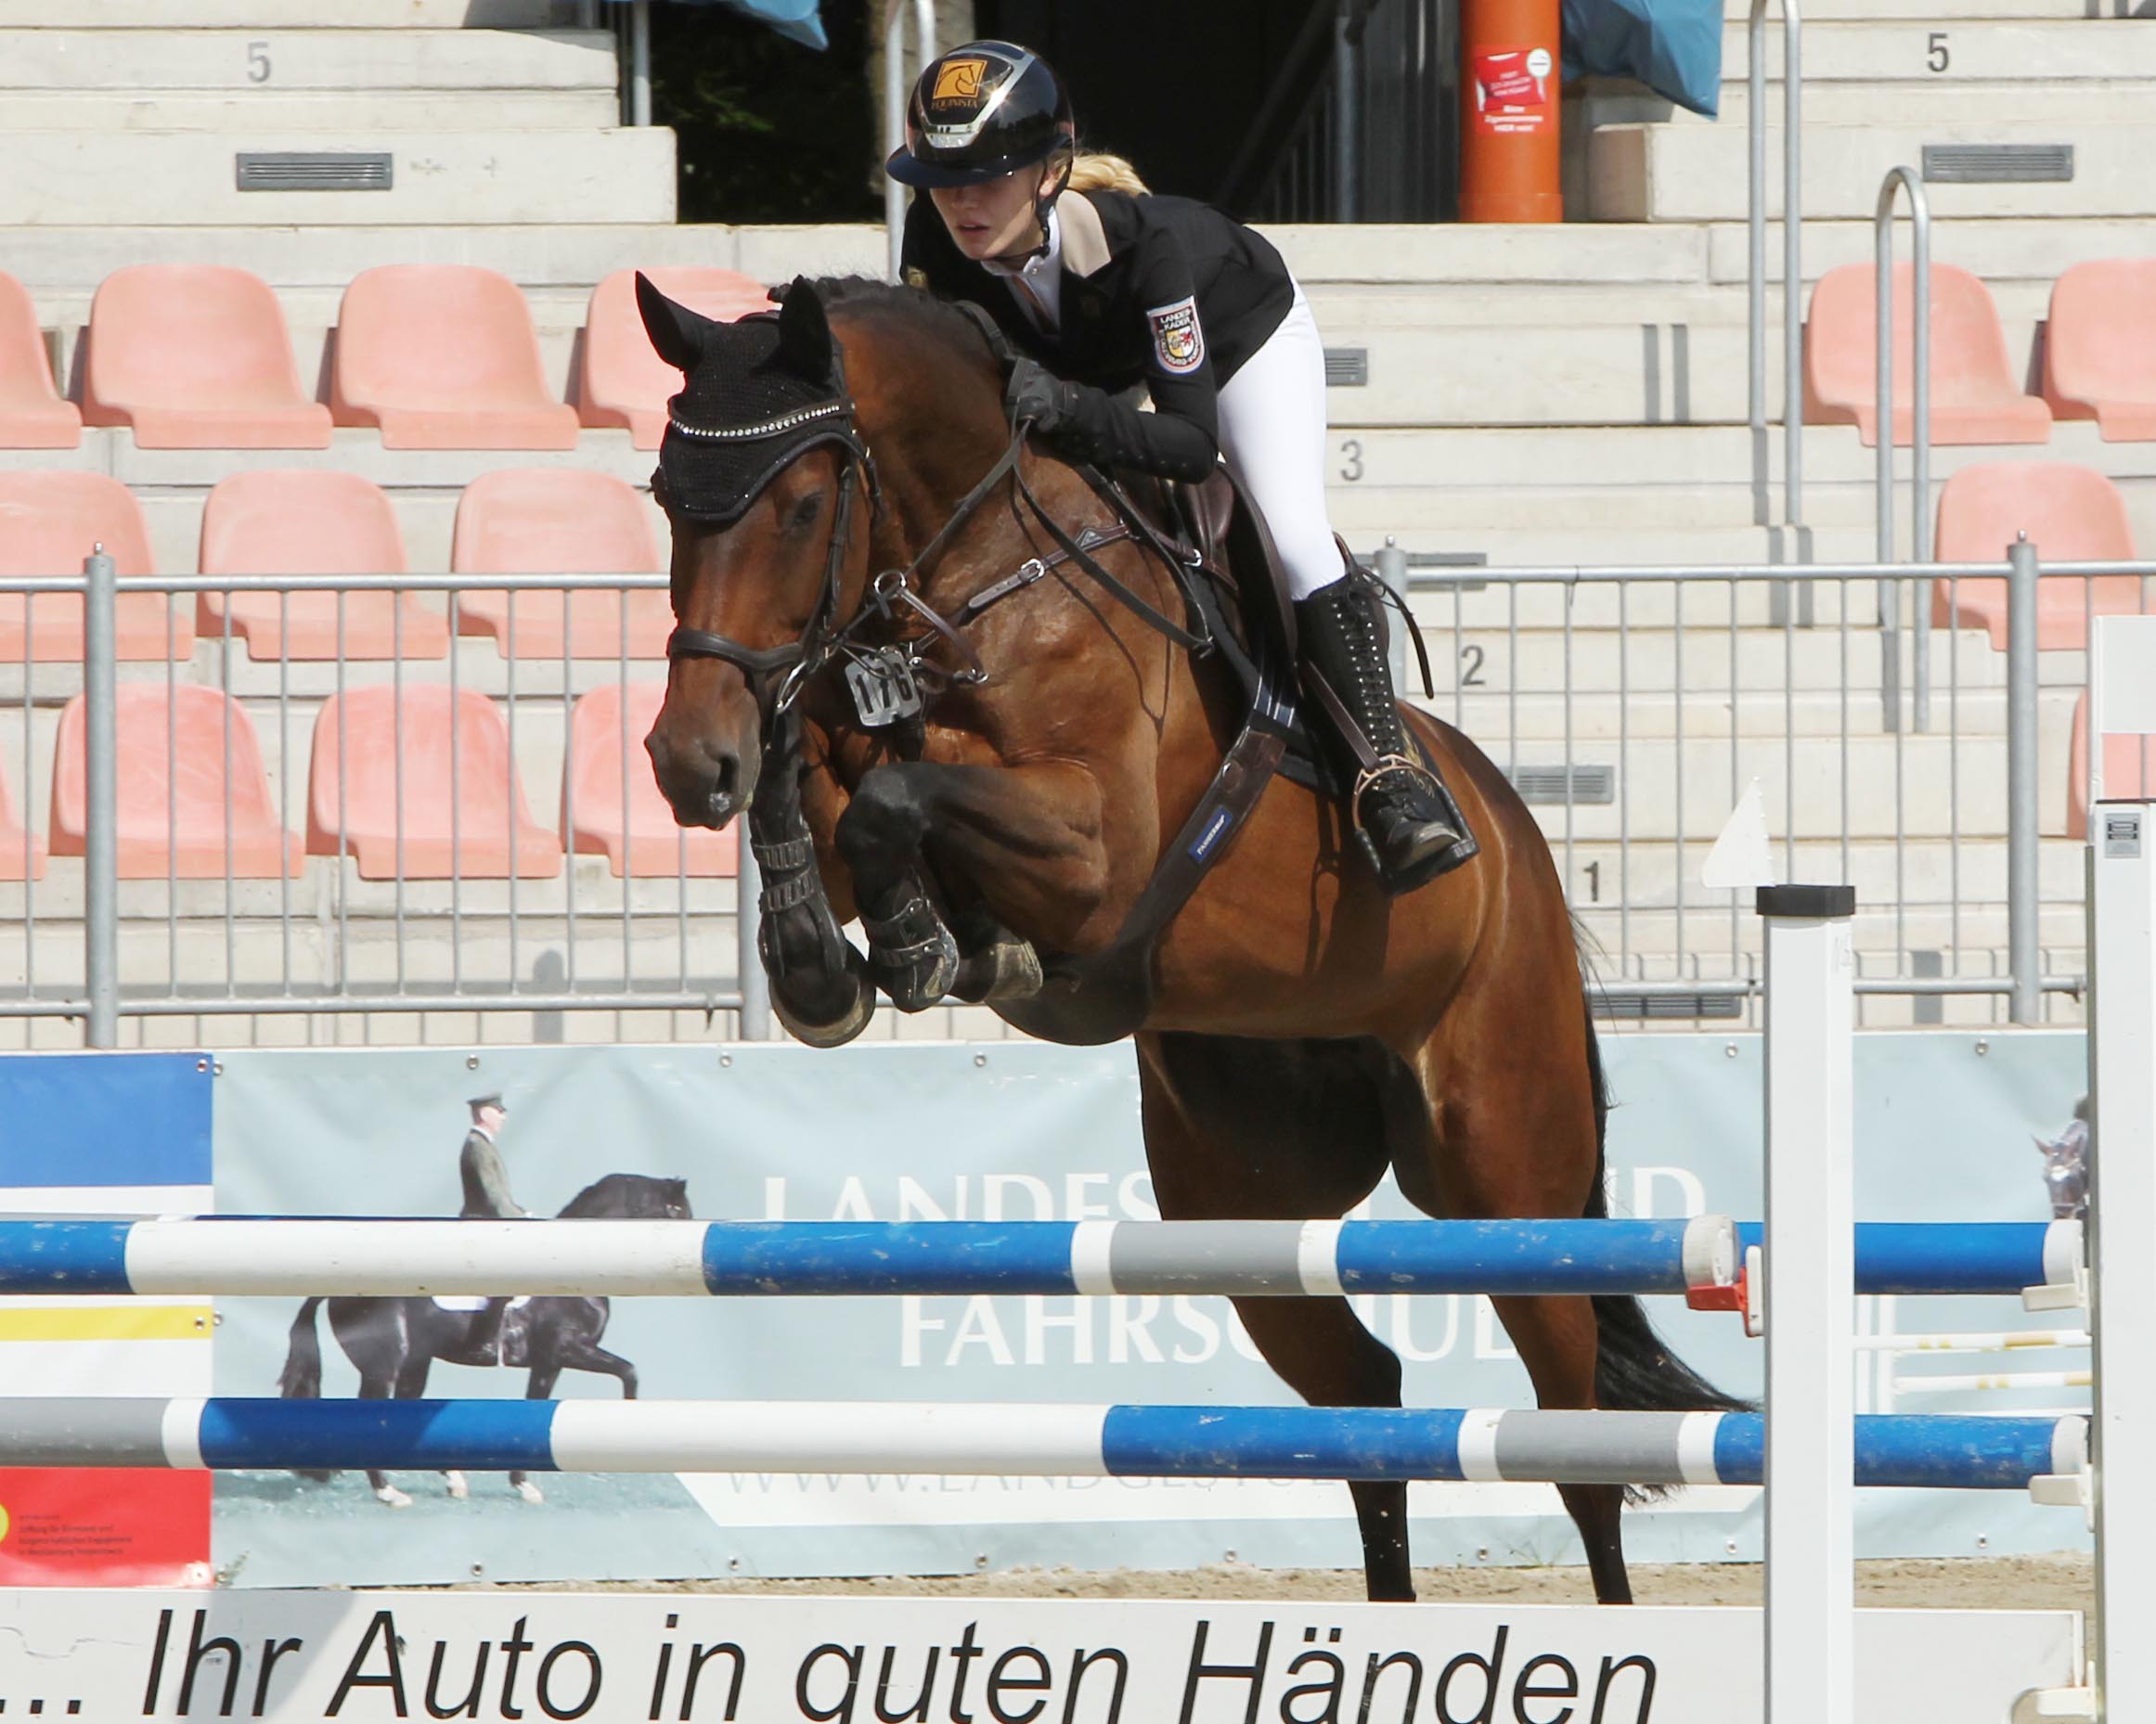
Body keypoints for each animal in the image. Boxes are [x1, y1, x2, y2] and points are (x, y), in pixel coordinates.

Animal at [274, 1172, 685, 1508]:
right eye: (678, 1212)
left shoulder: (548, 1362)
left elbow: (540, 1405)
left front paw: (523, 1485)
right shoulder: (567, 1350)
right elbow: (628, 1371)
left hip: (416, 1362)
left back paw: (449, 1479)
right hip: (385, 1365)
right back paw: (388, 1492)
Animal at [633, 269, 1733, 1602]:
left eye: (799, 506)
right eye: (665, 499)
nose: (686, 759)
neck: (970, 581)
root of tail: (1519, 848)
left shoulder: (1097, 856)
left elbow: (900, 799)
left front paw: (924, 945)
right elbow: (830, 798)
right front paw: (829, 962)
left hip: (1503, 1167)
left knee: (1576, 1443)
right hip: (1244, 1197)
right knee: (1362, 1398)